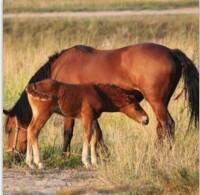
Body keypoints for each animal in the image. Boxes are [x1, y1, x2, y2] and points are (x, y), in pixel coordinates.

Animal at [3, 43, 198, 156]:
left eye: (9, 130)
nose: (12, 155)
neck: (58, 69)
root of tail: (171, 52)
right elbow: (97, 132)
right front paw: (104, 153)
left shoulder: (69, 110)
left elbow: (68, 132)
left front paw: (64, 155)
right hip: (161, 102)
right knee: (161, 127)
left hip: (156, 101)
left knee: (168, 125)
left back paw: (164, 154)